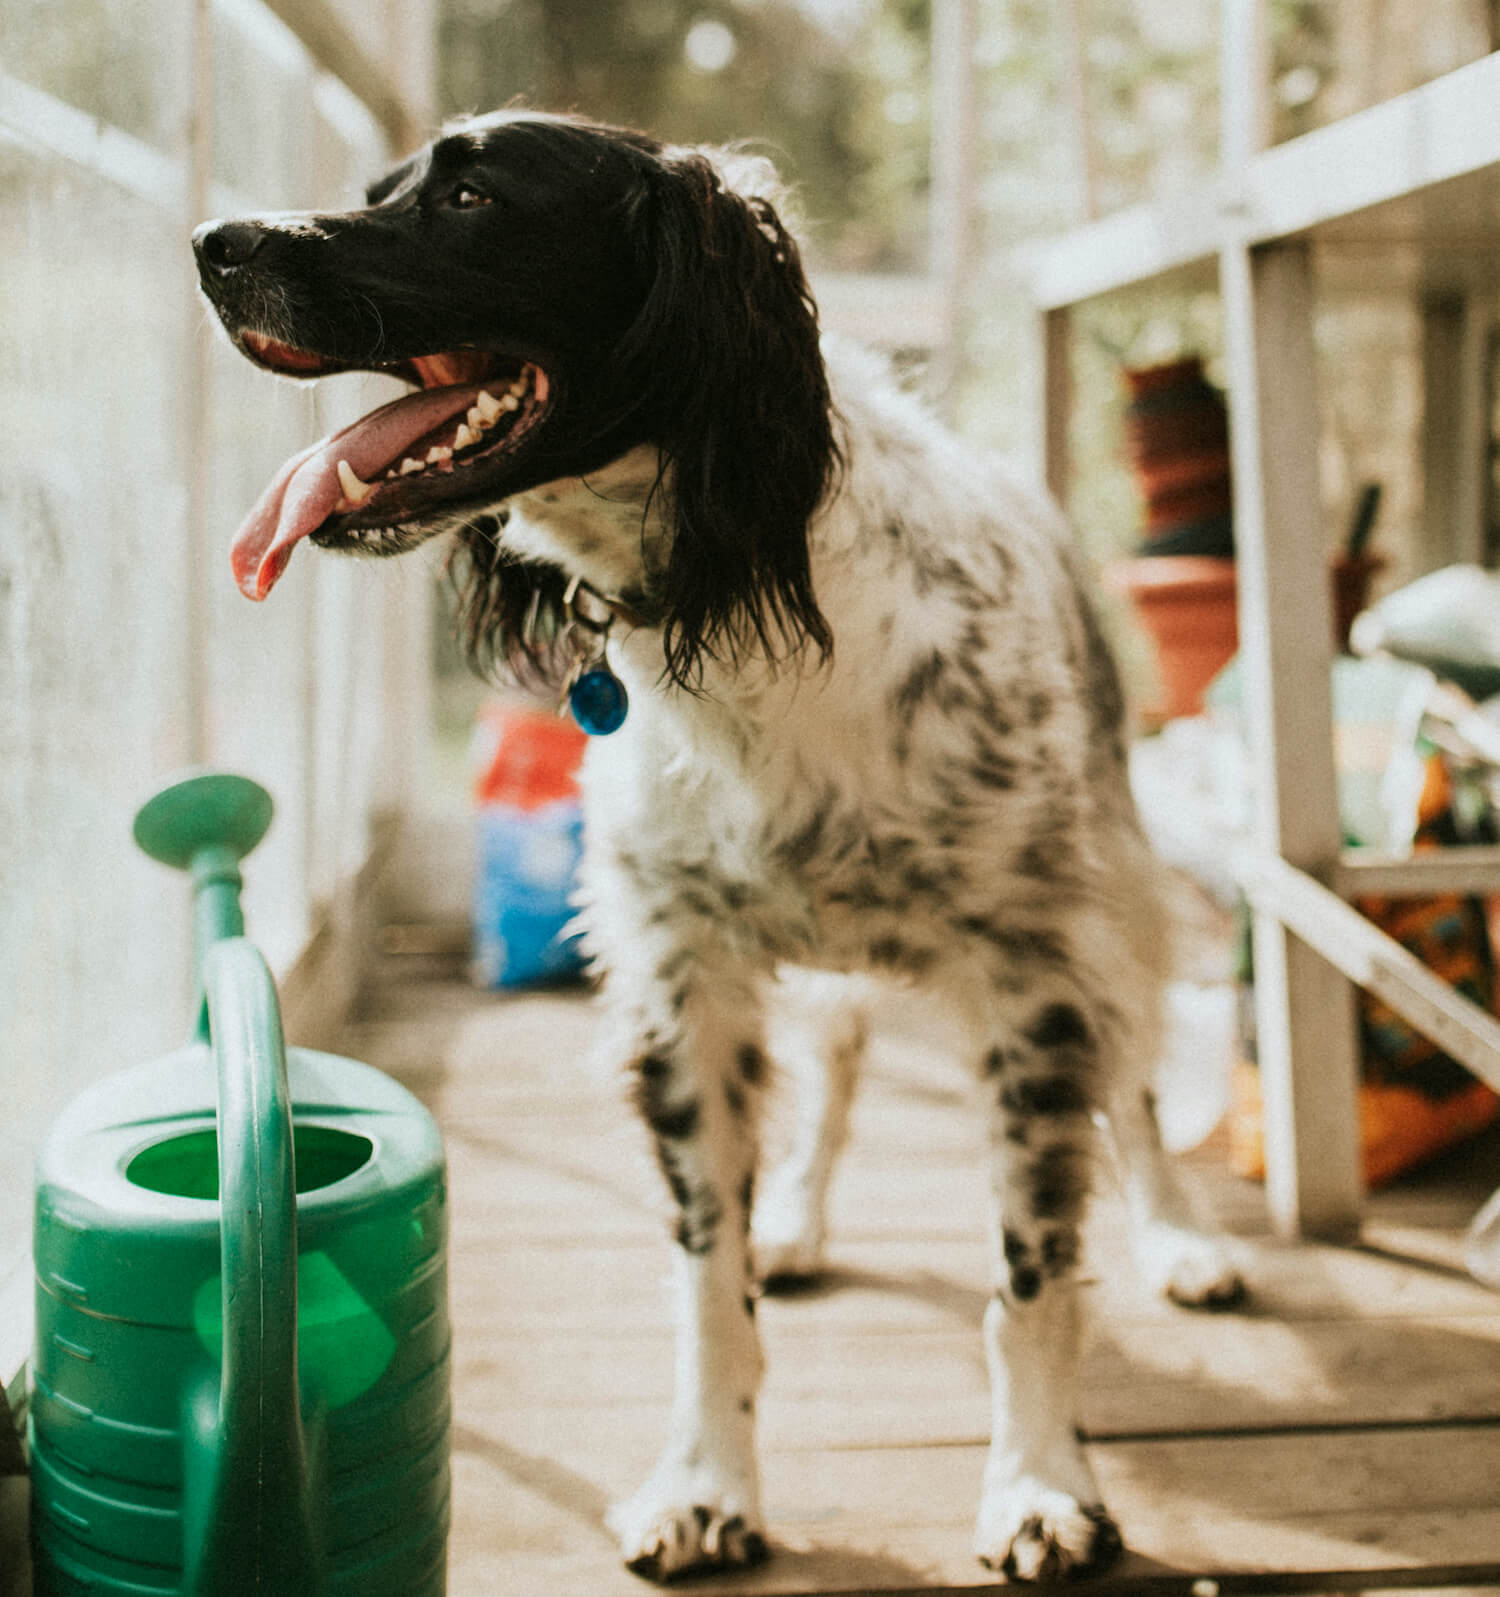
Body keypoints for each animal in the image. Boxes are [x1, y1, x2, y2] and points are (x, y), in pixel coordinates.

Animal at [193, 115, 1252, 1584]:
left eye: (471, 194)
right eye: (379, 191)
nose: (213, 244)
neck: (736, 593)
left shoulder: (1036, 975)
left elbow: (1030, 1275)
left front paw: (1040, 1484)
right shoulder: (683, 982)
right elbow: (709, 1281)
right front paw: (705, 1480)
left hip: (1110, 895)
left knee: (1139, 1086)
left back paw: (1180, 1237)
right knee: (842, 1064)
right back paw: (799, 1217)